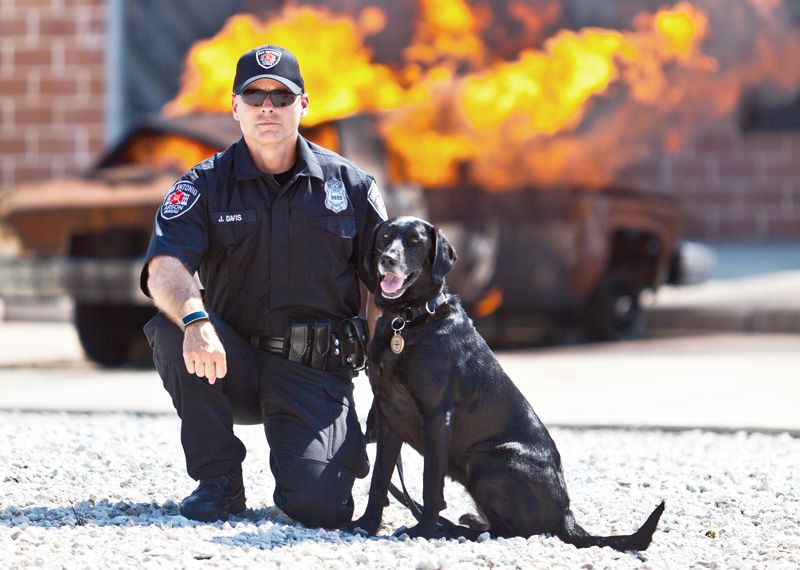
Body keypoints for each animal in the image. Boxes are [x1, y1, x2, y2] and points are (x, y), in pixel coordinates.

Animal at [350, 215, 664, 548]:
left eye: (414, 241)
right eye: (385, 237)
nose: (387, 259)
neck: (408, 320)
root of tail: (565, 515)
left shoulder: (436, 415)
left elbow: (430, 483)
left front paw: (422, 531)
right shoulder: (388, 414)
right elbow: (379, 479)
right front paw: (367, 524)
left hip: (487, 459)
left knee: (513, 531)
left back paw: (455, 530)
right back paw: (468, 522)